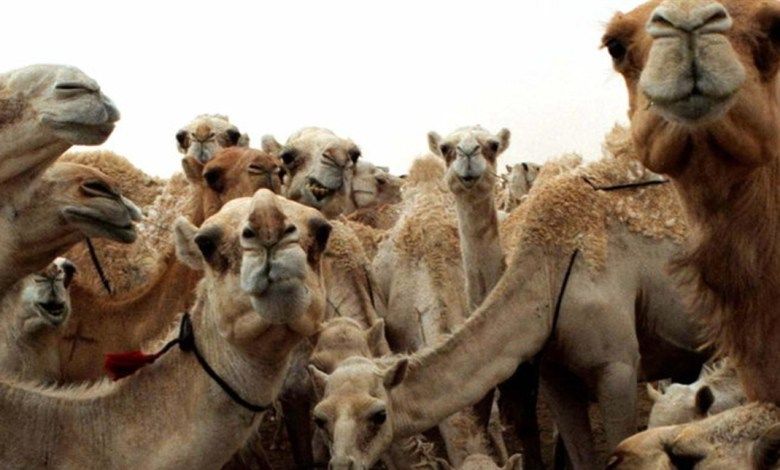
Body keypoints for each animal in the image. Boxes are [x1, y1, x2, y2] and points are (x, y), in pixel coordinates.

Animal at [315, 131, 712, 469]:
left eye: (378, 414)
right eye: (320, 417)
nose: (342, 464)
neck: (548, 270)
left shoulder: (618, 368)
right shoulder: (554, 373)